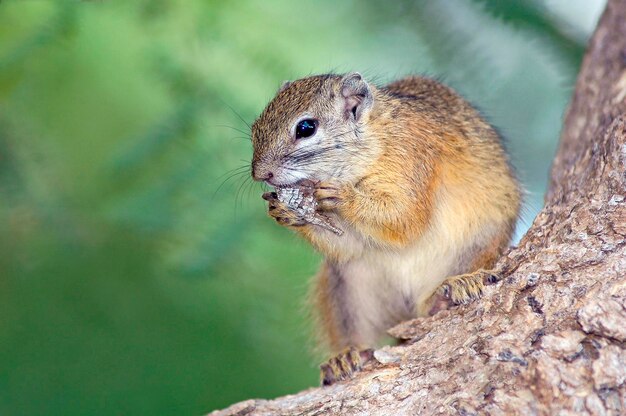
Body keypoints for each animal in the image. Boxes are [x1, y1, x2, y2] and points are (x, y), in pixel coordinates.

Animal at [249, 73, 516, 386]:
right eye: (255, 127)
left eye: (306, 127)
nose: (260, 174)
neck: (374, 140)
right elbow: (348, 243)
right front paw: (285, 212)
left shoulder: (413, 159)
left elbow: (405, 219)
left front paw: (344, 197)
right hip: (347, 289)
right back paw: (346, 357)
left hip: (480, 244)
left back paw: (453, 290)